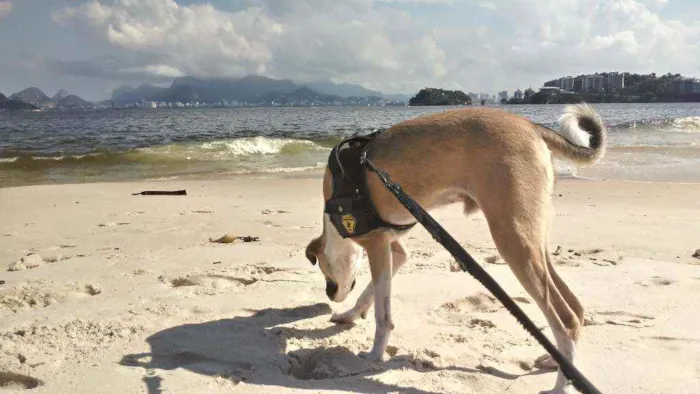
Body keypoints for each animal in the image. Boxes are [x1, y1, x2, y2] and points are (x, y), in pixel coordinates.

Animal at [306, 103, 608, 392]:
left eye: (324, 270)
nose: (330, 294)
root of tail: (532, 126)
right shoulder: (394, 249)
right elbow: (369, 293)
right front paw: (350, 315)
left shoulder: (377, 246)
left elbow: (383, 314)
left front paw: (374, 354)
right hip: (533, 239)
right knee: (575, 309)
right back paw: (555, 363)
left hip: (513, 241)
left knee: (565, 319)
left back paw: (561, 385)